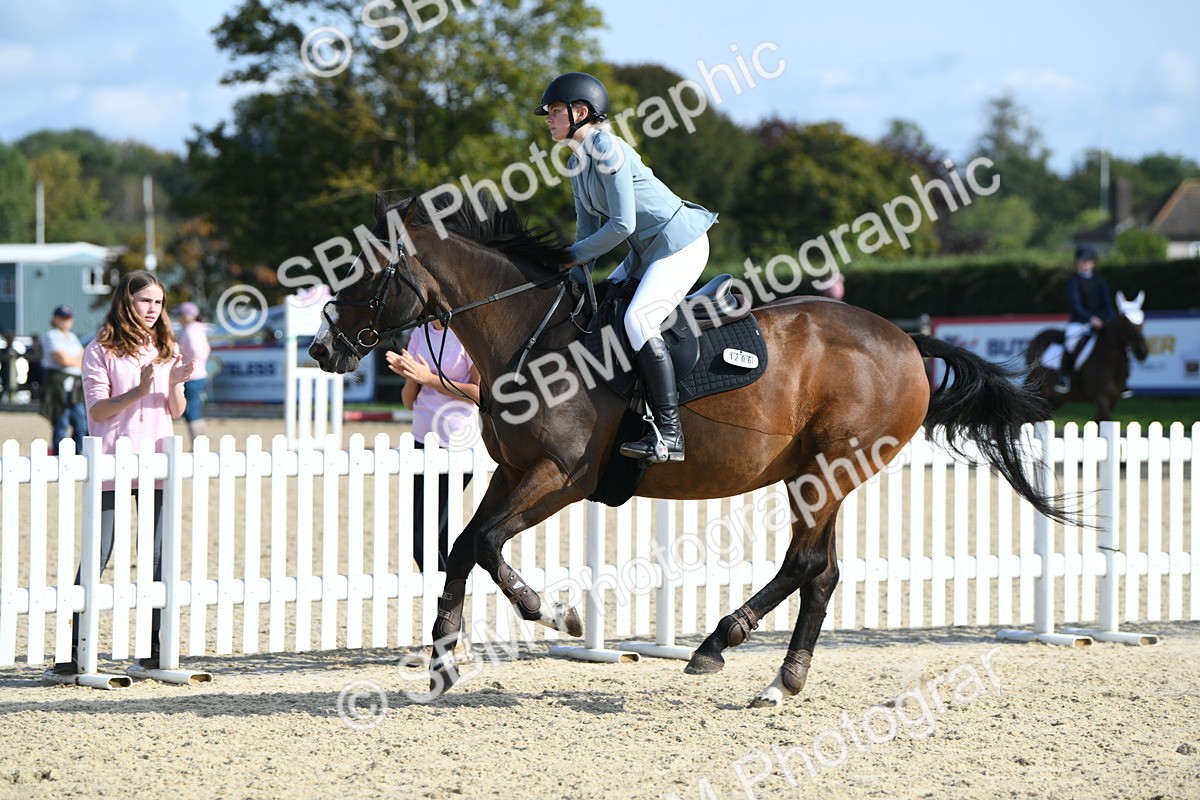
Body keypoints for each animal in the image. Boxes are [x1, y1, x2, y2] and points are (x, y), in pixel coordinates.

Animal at [309, 194, 1069, 708]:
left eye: (363, 274)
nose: (320, 349)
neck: (533, 334)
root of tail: (907, 341)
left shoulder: (561, 475)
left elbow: (490, 545)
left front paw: (560, 615)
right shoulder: (515, 470)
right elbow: (465, 547)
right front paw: (442, 661)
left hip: (827, 471)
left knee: (805, 565)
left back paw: (726, 651)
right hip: (819, 475)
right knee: (821, 573)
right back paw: (775, 675)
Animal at [1024, 291, 1149, 422]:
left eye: (1142, 320)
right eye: (1125, 321)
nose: (1142, 352)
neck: (1110, 359)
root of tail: (1037, 338)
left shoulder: (1112, 400)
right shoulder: (1102, 398)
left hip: (1055, 397)